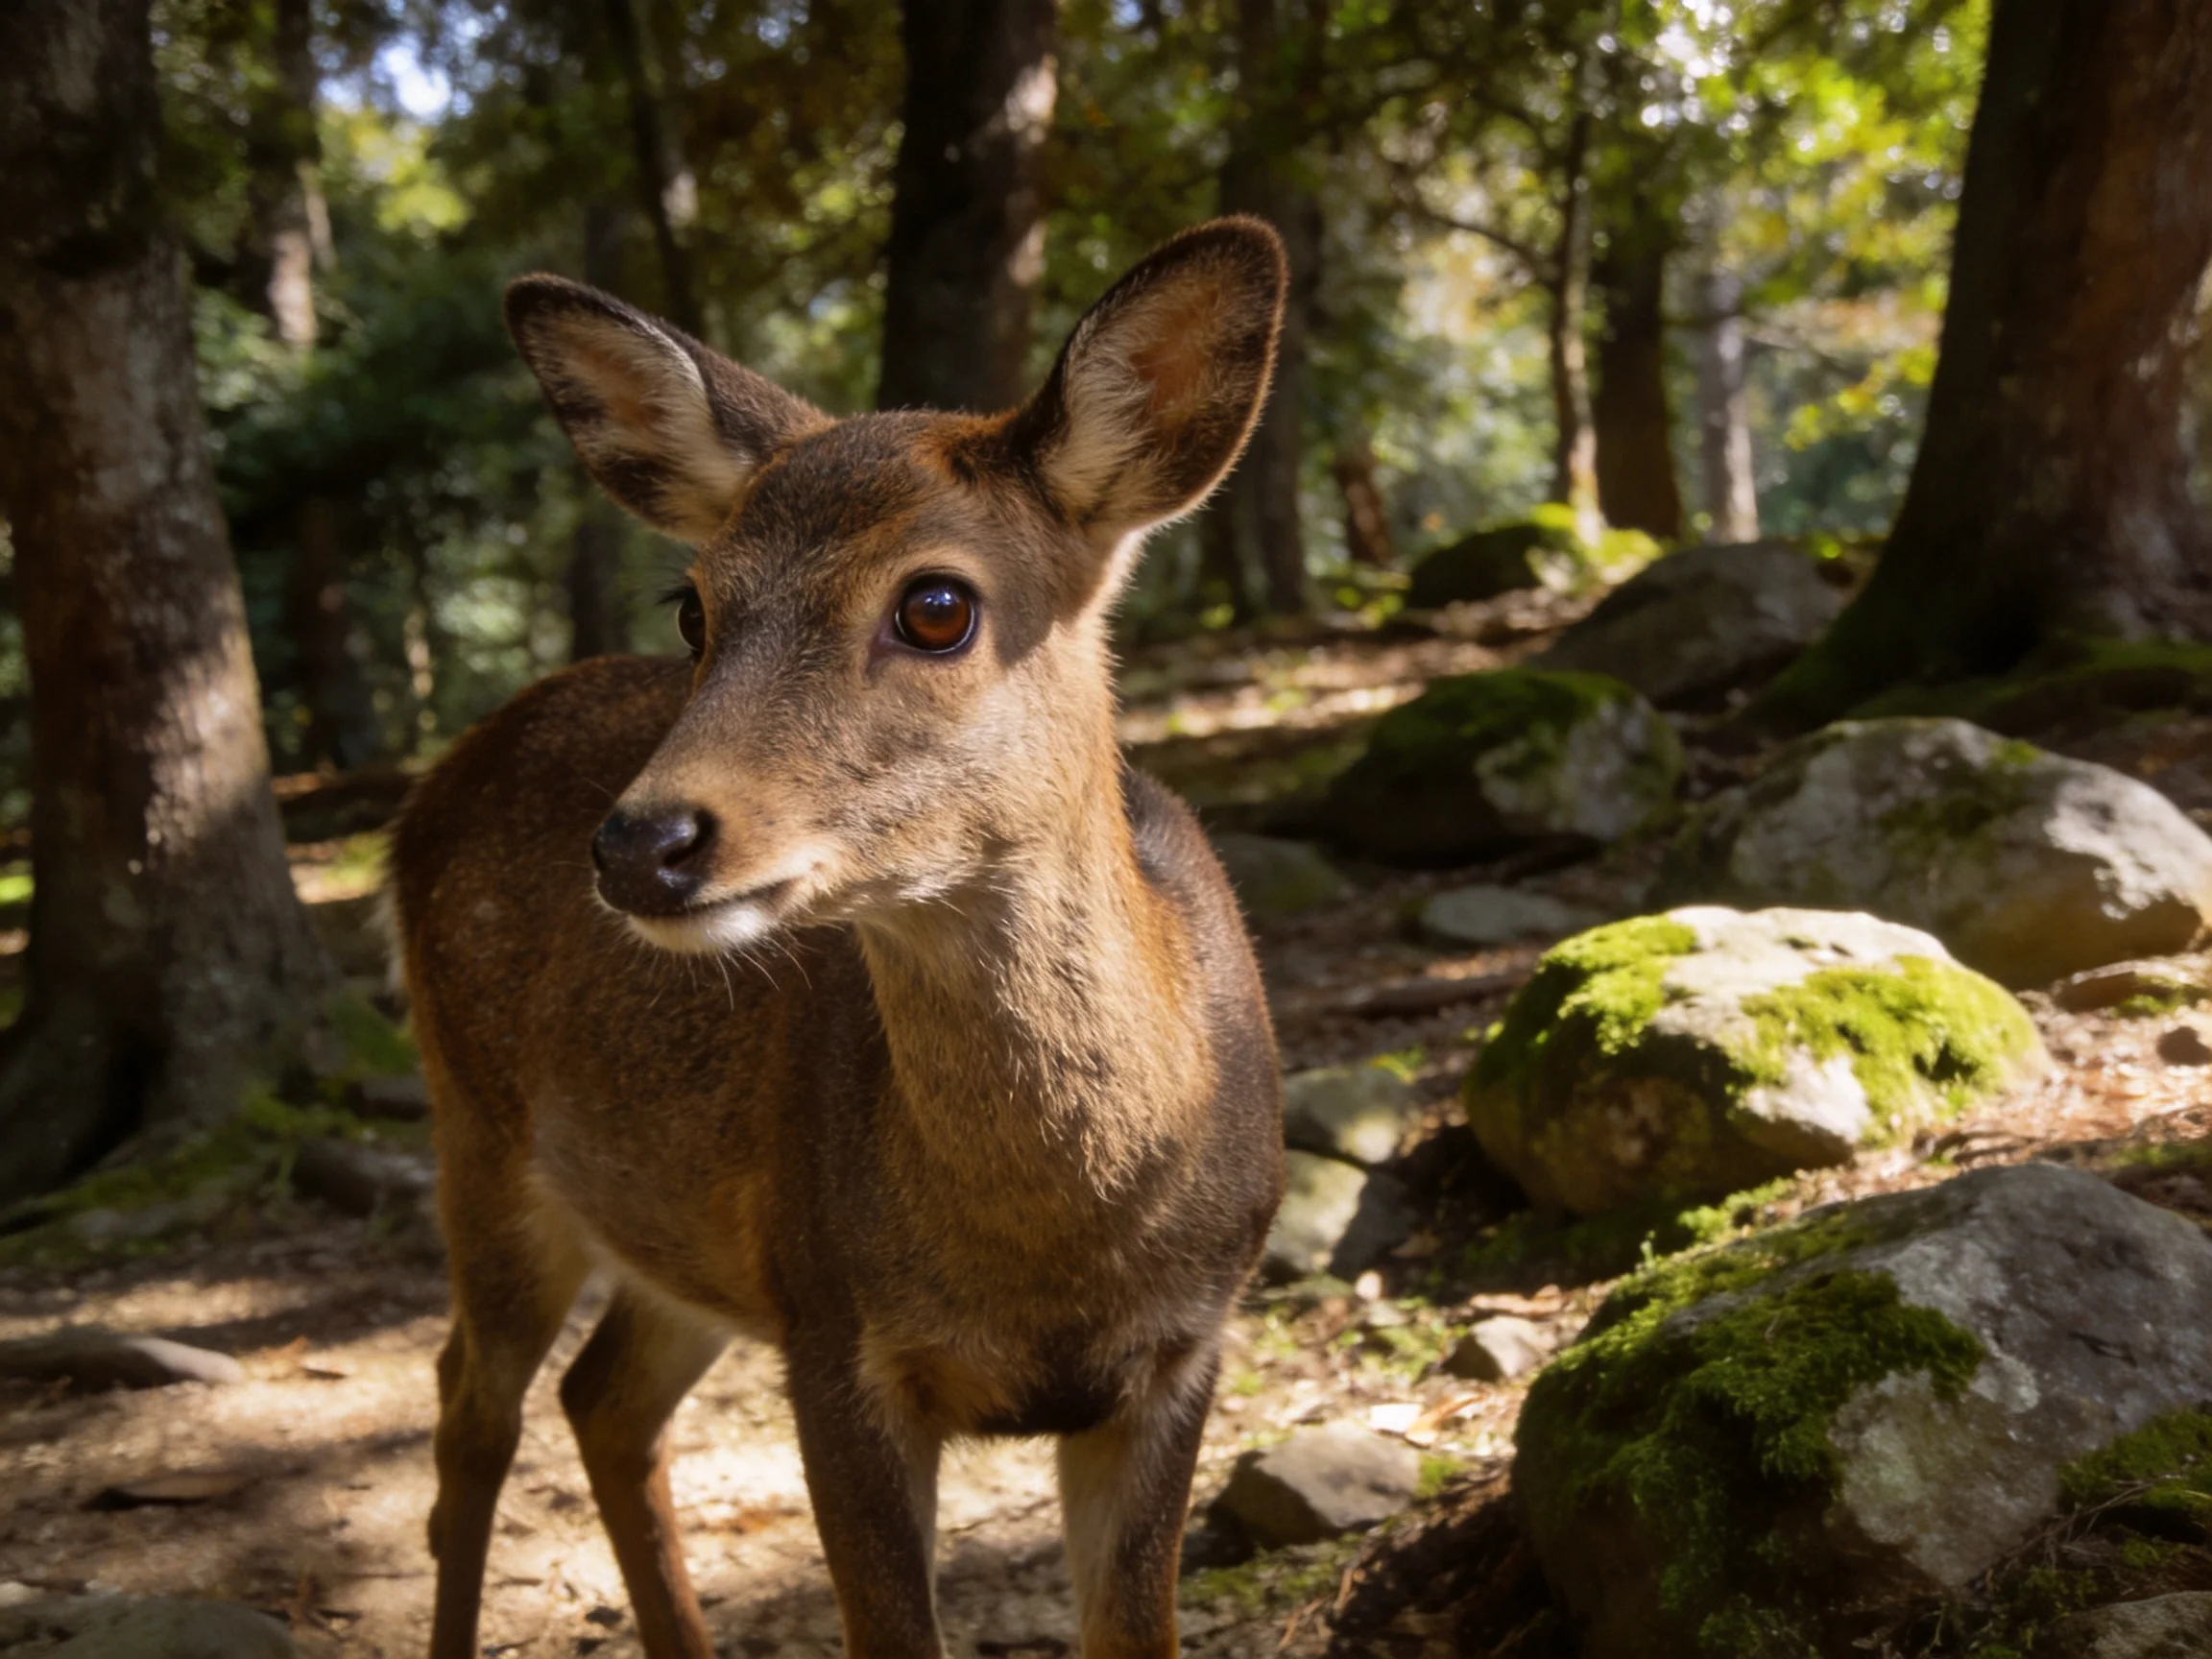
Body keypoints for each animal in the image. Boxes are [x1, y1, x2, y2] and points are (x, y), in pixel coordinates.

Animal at [388, 218, 1289, 1659]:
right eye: (694, 609)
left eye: (937, 605)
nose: (641, 842)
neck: (1058, 1246)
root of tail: (423, 795)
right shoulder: (834, 1335)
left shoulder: (1181, 1353)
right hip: (479, 1127)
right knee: (471, 1406)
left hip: (682, 1228)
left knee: (601, 1398)